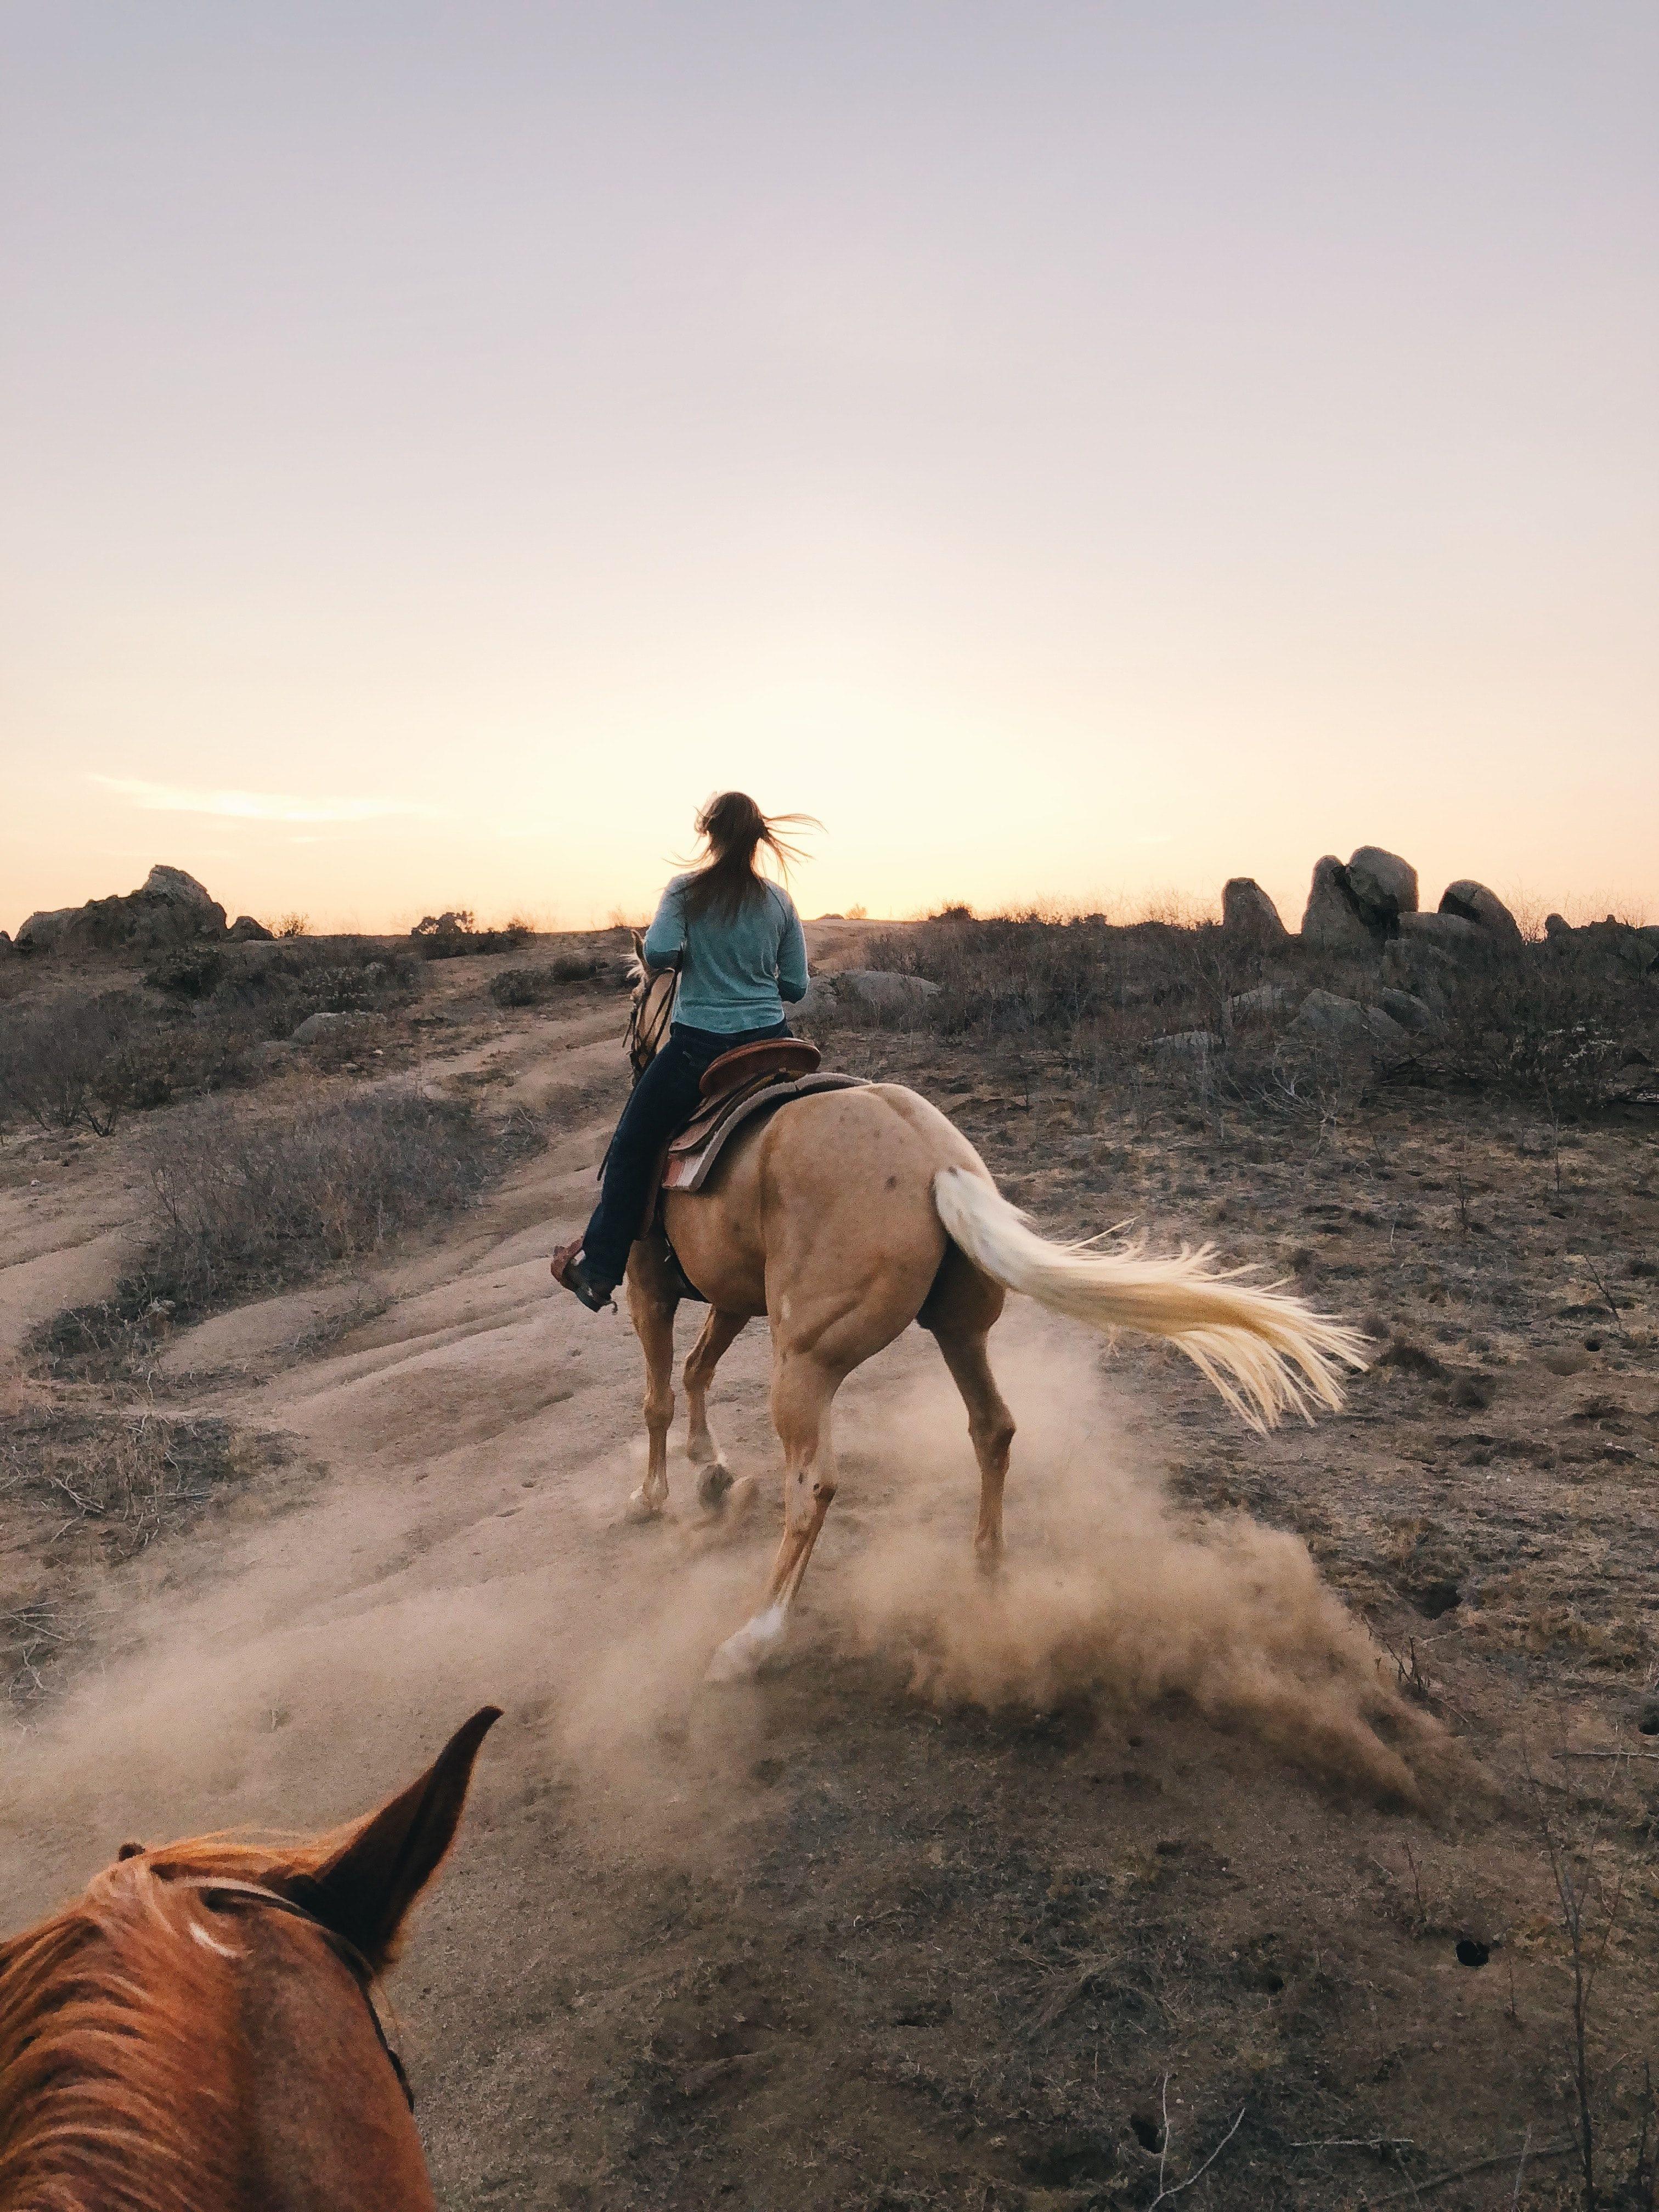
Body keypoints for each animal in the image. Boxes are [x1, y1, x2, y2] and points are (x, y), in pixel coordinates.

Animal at [619, 955, 1371, 1672]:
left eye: (634, 996)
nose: (635, 1049)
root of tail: (936, 1162)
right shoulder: (728, 1294)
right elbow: (698, 1367)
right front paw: (709, 1466)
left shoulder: (645, 1282)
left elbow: (658, 1395)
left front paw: (652, 1494)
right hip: (960, 1330)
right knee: (994, 1429)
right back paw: (987, 1568)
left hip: (807, 1361)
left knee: (813, 1486)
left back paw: (755, 1637)